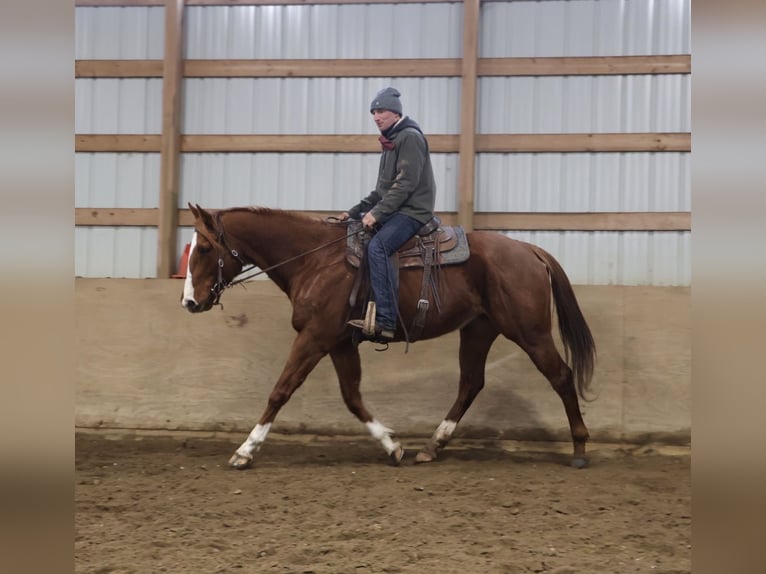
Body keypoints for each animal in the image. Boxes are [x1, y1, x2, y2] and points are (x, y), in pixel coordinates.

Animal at [181, 203, 596, 469]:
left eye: (205, 248)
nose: (189, 302)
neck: (315, 260)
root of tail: (529, 249)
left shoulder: (315, 337)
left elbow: (281, 390)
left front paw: (245, 450)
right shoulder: (339, 342)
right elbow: (352, 397)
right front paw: (392, 445)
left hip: (530, 332)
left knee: (561, 376)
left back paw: (579, 447)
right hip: (478, 329)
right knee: (471, 383)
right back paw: (432, 446)